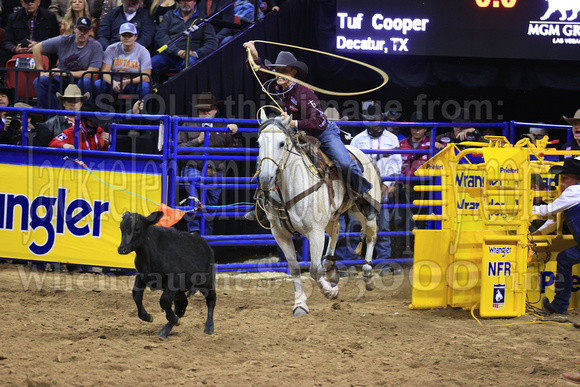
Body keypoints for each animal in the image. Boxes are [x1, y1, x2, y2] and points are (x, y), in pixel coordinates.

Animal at [256, 113, 382, 316]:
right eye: (259, 142)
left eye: (282, 143)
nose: (266, 179)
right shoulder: (280, 234)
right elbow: (294, 268)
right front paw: (300, 304)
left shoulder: (314, 231)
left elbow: (314, 270)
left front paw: (331, 292)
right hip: (332, 215)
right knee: (335, 231)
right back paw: (330, 268)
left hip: (363, 209)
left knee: (371, 234)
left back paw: (368, 274)